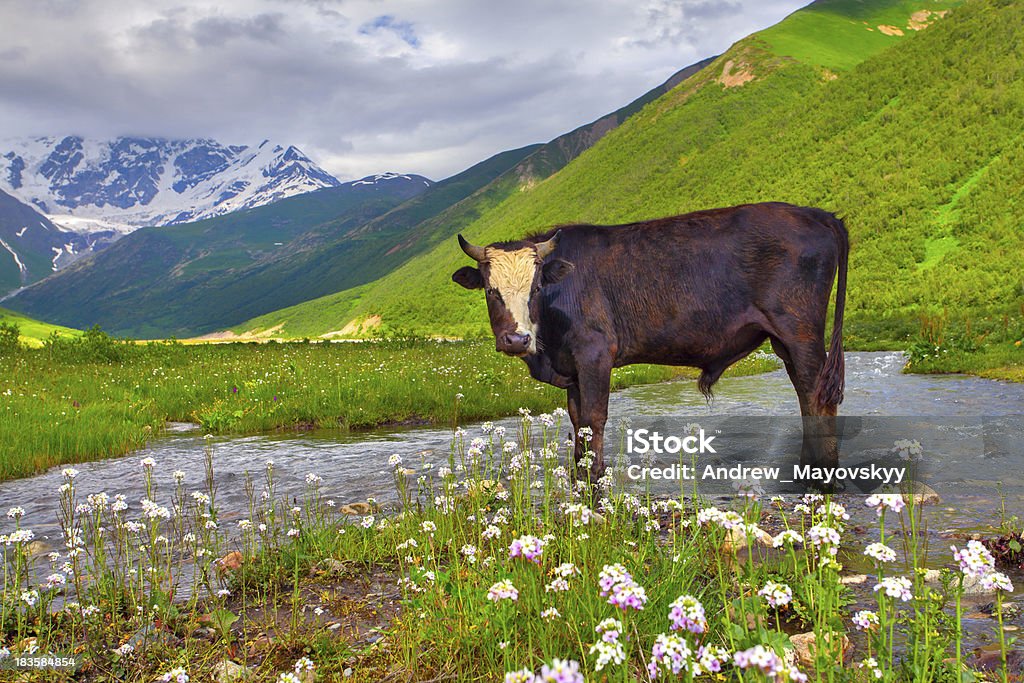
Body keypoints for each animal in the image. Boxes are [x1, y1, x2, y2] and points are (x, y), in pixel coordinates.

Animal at [450, 201, 847, 481]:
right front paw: (579, 479)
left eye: (535, 288)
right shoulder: (573, 368)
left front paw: (596, 482)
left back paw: (822, 479)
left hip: (801, 333)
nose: (517, 339)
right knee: (805, 394)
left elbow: (595, 418)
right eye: (490, 290)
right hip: (785, 341)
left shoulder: (595, 355)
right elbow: (578, 423)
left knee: (816, 395)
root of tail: (817, 214)